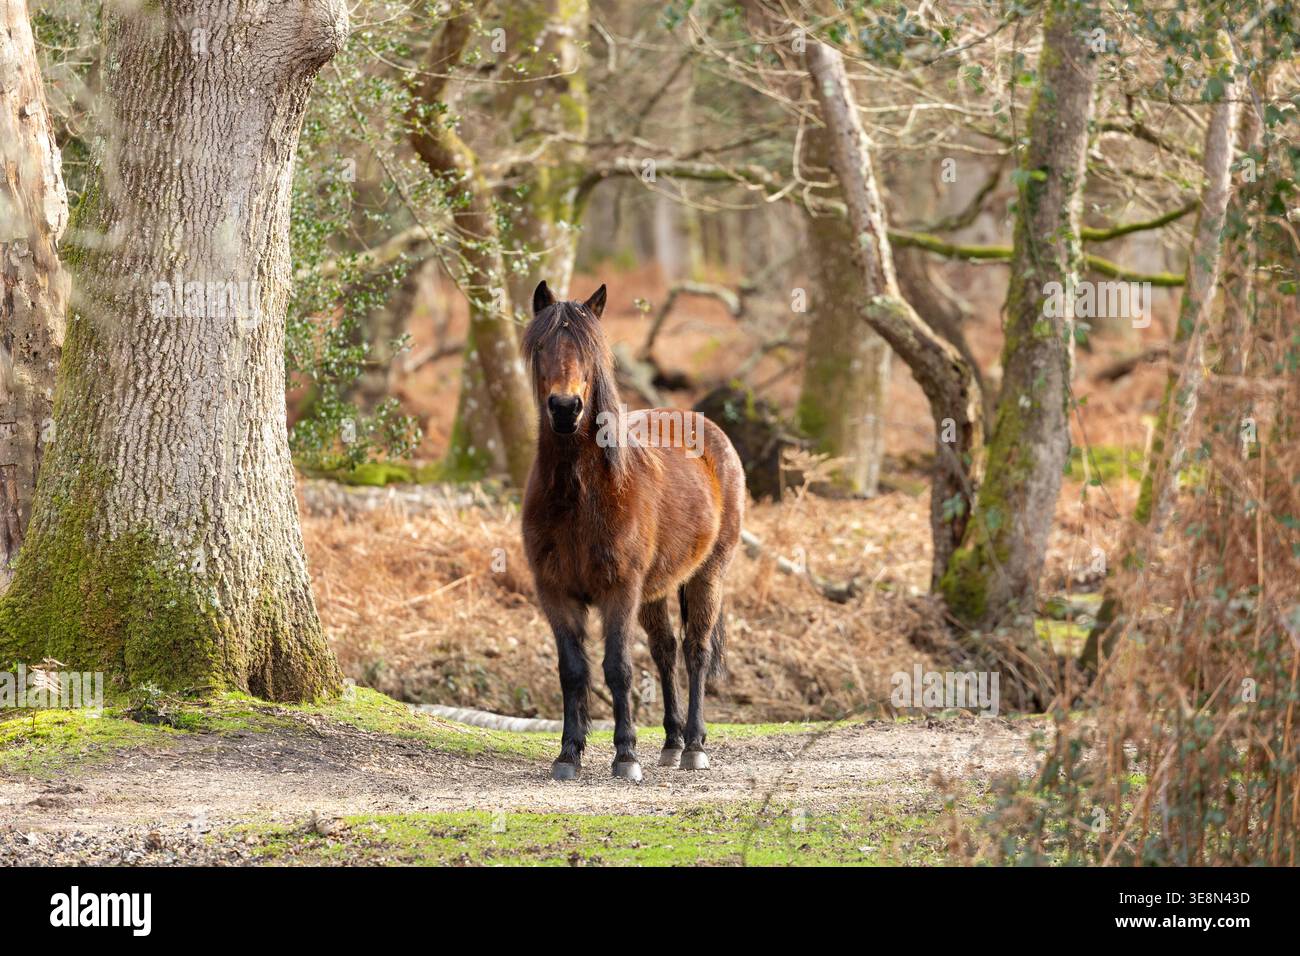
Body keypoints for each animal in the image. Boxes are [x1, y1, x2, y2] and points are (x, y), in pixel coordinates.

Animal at [521, 280, 745, 782]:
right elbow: (573, 670)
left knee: (695, 651)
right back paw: (671, 741)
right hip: (656, 592)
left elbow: (618, 668)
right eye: (540, 347)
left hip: (708, 575)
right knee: (664, 651)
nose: (565, 408)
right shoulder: (555, 592)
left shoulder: (619, 590)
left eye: (589, 350)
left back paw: (693, 746)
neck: (581, 493)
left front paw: (625, 755)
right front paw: (568, 754)